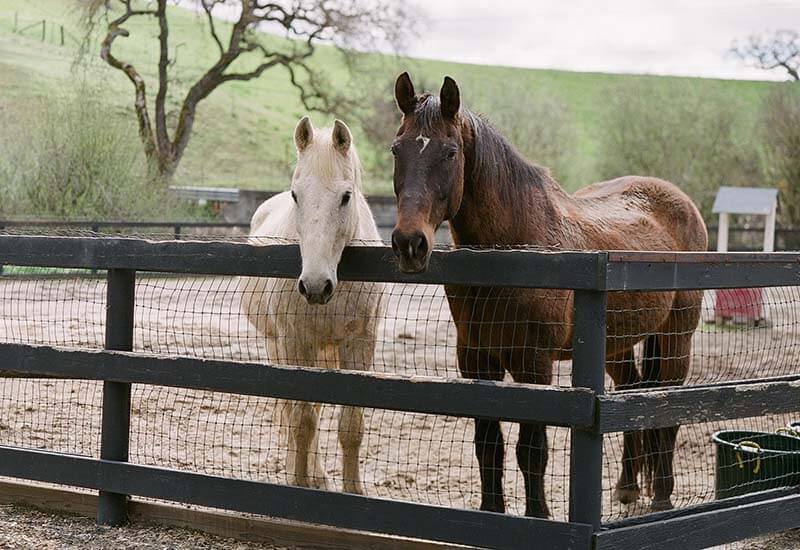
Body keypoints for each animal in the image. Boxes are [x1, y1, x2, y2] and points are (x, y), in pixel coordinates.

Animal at [238, 116, 384, 494]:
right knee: (292, 411)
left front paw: (353, 490)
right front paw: (299, 482)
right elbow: (302, 421)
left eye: (346, 196)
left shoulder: (359, 344)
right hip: (277, 345)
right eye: (296, 195)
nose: (316, 286)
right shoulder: (295, 342)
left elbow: (351, 424)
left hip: (324, 351)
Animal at [389, 73, 708, 517]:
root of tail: (681, 202)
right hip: (616, 345)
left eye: (450, 152)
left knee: (669, 409)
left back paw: (661, 497)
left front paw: (538, 514)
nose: (409, 243)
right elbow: (488, 446)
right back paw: (627, 489)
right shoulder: (476, 362)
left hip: (677, 337)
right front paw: (492, 512)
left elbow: (531, 449)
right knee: (630, 396)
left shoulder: (533, 364)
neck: (518, 248)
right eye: (396, 149)